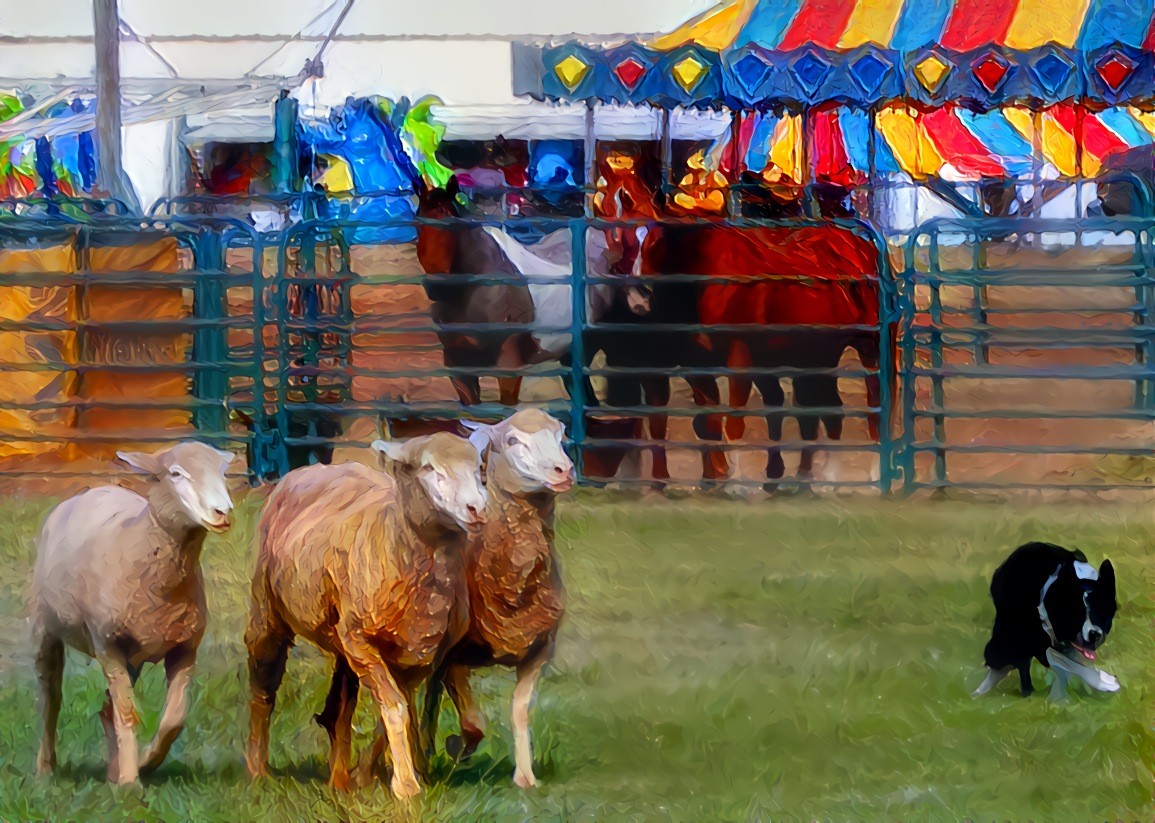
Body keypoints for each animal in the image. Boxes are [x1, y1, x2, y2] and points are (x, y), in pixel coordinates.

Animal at [30, 440, 236, 784]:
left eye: (223, 473)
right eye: (175, 473)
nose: (223, 513)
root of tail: (91, 491)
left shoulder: (185, 648)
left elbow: (174, 720)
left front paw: (143, 764)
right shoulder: (108, 644)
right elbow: (127, 714)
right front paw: (130, 783)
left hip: (132, 655)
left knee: (106, 706)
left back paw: (113, 769)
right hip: (47, 627)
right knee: (51, 696)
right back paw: (45, 769)